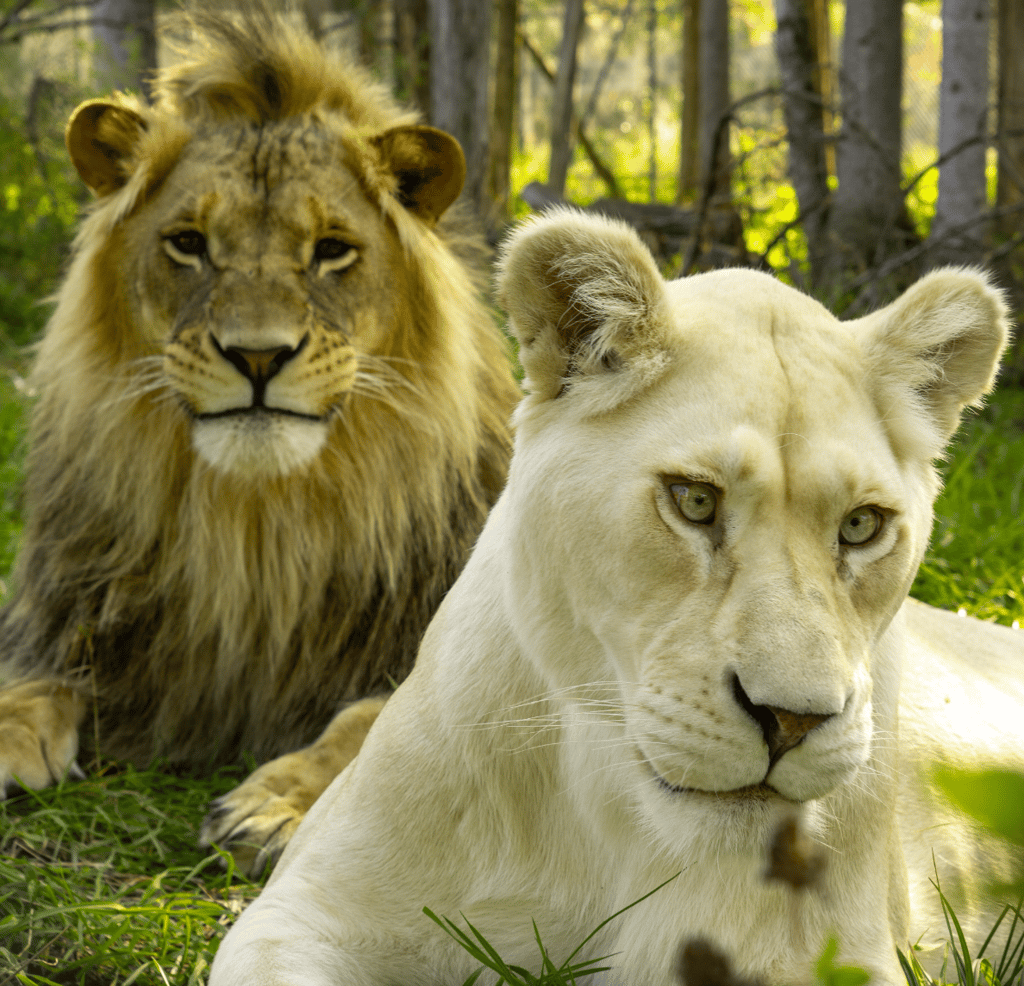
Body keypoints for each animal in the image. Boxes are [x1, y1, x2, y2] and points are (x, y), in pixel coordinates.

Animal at [0, 7, 516, 872]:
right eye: (188, 242)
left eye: (332, 249)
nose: (258, 356)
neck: (259, 527)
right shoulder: (66, 620)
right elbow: (28, 681)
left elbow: (364, 725)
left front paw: (270, 805)